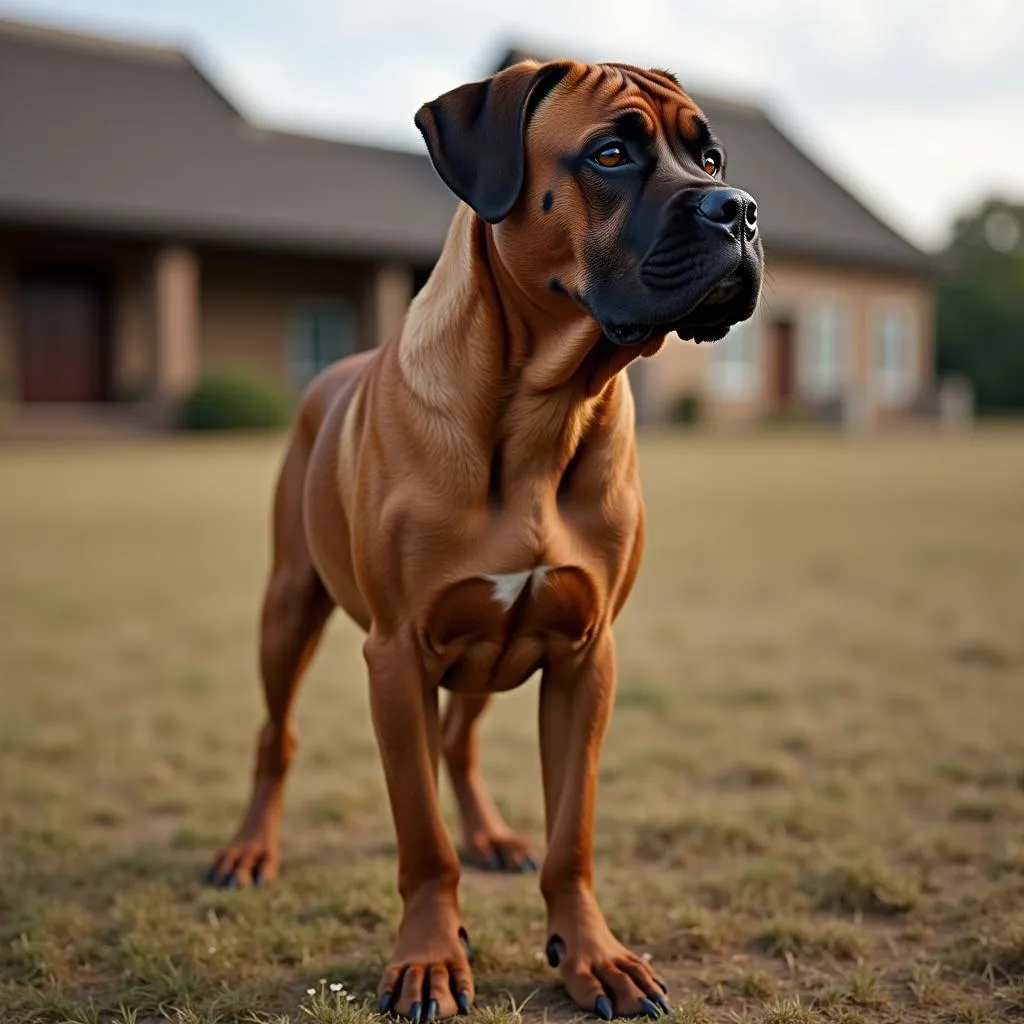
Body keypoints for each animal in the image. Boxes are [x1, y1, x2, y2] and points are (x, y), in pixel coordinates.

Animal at [207, 59, 765, 1019]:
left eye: (710, 156)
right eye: (610, 154)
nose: (738, 209)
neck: (545, 406)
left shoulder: (584, 656)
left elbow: (571, 832)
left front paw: (592, 954)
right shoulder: (397, 655)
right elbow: (421, 838)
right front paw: (429, 958)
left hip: (489, 651)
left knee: (458, 743)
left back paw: (493, 834)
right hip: (290, 610)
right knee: (277, 738)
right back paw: (250, 849)